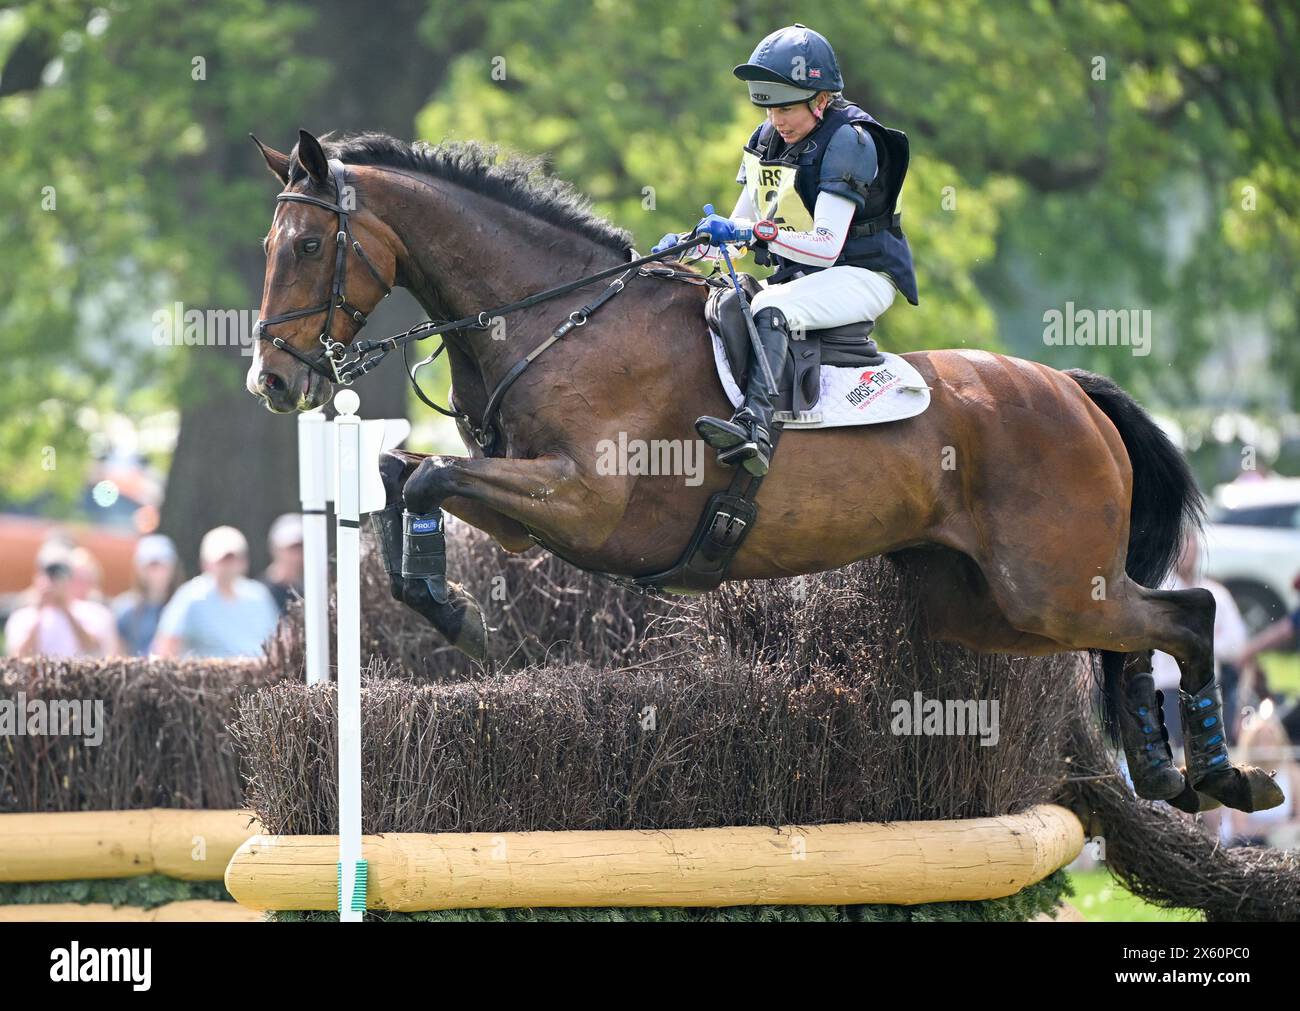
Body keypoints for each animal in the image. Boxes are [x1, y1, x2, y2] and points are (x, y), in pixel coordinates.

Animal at [248, 129, 1284, 816]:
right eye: (270, 246)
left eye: (307, 245)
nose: (273, 382)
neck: (559, 322)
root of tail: (1071, 388)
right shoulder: (521, 504)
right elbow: (403, 471)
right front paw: (438, 598)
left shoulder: (582, 504)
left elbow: (423, 478)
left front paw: (456, 615)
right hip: (988, 603)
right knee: (1134, 631)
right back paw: (1167, 773)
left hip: (1048, 585)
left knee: (1188, 613)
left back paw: (1223, 773)